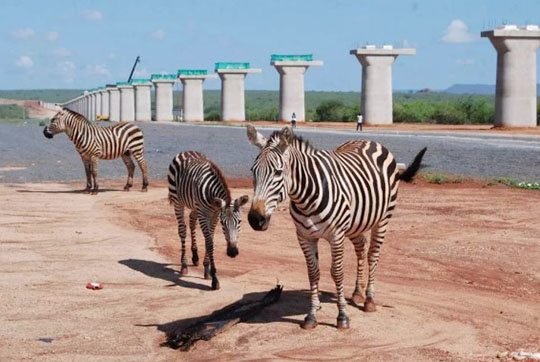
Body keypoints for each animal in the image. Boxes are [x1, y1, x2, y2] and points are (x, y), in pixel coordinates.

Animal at [168, 151, 250, 290]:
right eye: (223, 223)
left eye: (240, 222)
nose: (232, 252)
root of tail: (185, 152)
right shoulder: (204, 215)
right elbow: (210, 243)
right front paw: (214, 278)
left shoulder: (214, 215)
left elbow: (209, 240)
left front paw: (207, 270)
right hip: (178, 201)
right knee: (182, 230)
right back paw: (184, 265)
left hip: (194, 205)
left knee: (191, 220)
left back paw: (195, 257)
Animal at [246, 126, 426, 330]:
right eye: (253, 171)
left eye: (278, 172)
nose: (255, 219)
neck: (306, 199)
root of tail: (371, 141)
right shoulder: (304, 236)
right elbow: (313, 273)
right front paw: (311, 315)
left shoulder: (336, 236)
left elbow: (337, 273)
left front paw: (342, 316)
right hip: (356, 224)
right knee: (361, 248)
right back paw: (357, 293)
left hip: (383, 219)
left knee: (373, 255)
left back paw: (369, 300)